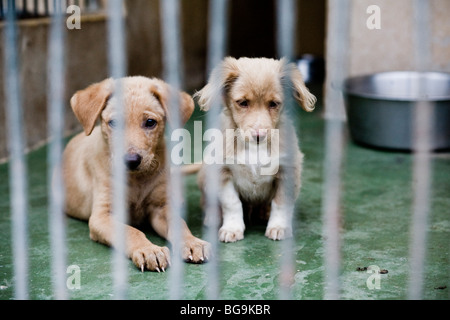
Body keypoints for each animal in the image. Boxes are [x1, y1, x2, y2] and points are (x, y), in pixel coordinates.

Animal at [63, 76, 211, 272]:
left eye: (150, 122)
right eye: (114, 123)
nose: (131, 160)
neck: (137, 179)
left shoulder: (160, 209)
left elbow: (179, 223)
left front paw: (193, 242)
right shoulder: (102, 216)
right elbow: (131, 231)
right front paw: (149, 250)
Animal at [194, 57, 316, 242]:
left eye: (274, 104)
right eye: (243, 103)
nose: (259, 135)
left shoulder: (288, 171)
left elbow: (281, 203)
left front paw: (278, 227)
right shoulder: (223, 172)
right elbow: (232, 203)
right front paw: (232, 228)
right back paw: (213, 217)